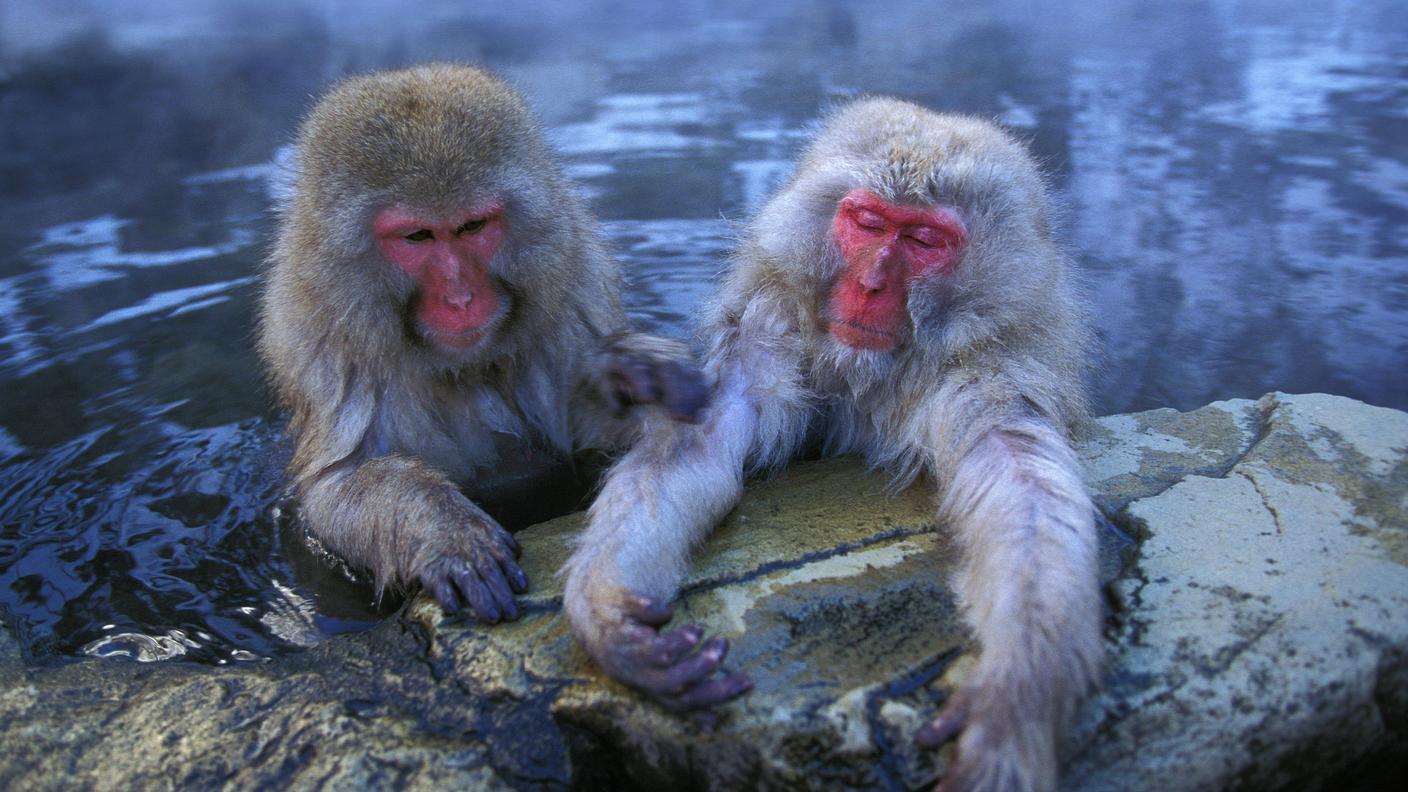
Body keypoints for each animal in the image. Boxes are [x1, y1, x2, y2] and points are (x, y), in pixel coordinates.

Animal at [256, 64, 706, 627]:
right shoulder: (332, 353)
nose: (460, 298)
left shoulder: (569, 306)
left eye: (472, 226)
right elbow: (334, 487)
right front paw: (440, 530)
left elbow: (583, 437)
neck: (461, 369)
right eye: (417, 237)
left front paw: (629, 372)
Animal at [563, 98, 1101, 791]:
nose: (871, 284)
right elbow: (703, 437)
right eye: (868, 221)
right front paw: (610, 618)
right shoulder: (770, 320)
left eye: (923, 240)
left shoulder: (994, 364)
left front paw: (1015, 700)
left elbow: (1021, 481)